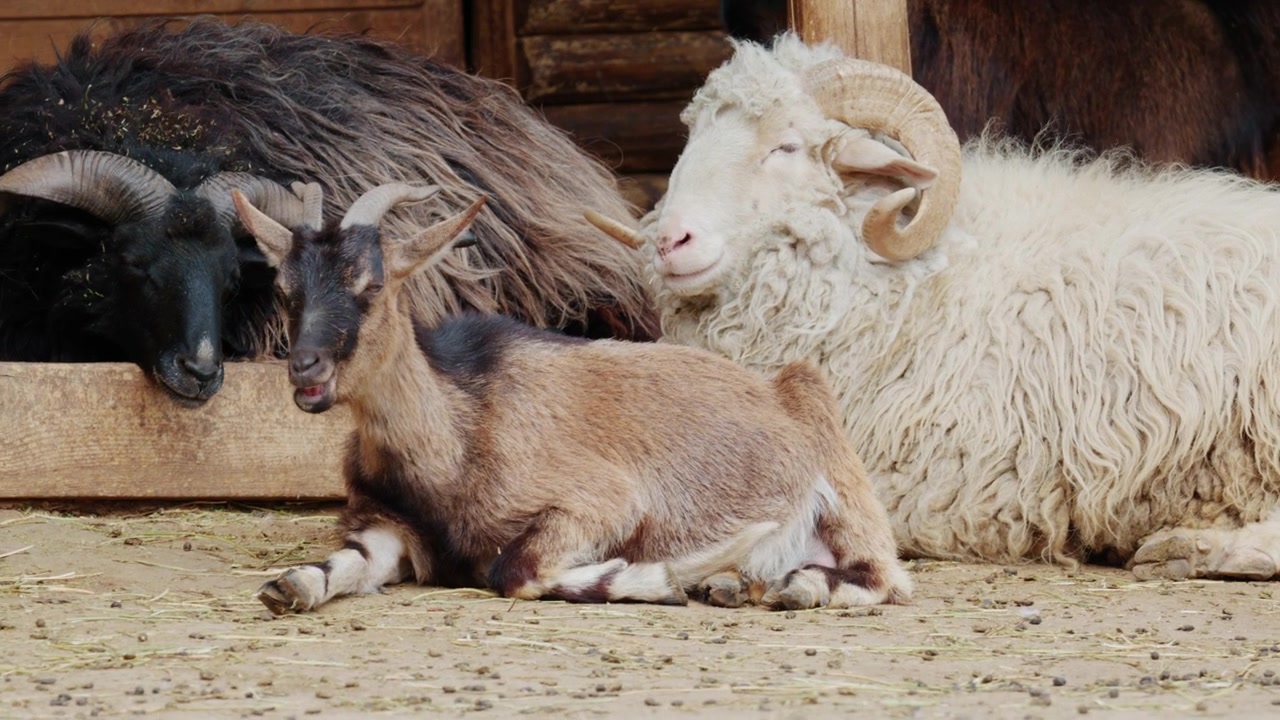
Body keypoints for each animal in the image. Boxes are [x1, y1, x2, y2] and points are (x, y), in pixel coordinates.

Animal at [231, 181, 911, 613]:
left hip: (844, 487)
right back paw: (738, 585)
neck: (456, 432)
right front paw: (291, 587)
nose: (304, 367)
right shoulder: (388, 525)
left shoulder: (602, 500)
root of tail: (782, 387)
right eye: (286, 291)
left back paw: (790, 587)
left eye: (371, 286)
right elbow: (346, 563)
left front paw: (656, 578)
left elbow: (513, 569)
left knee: (884, 576)